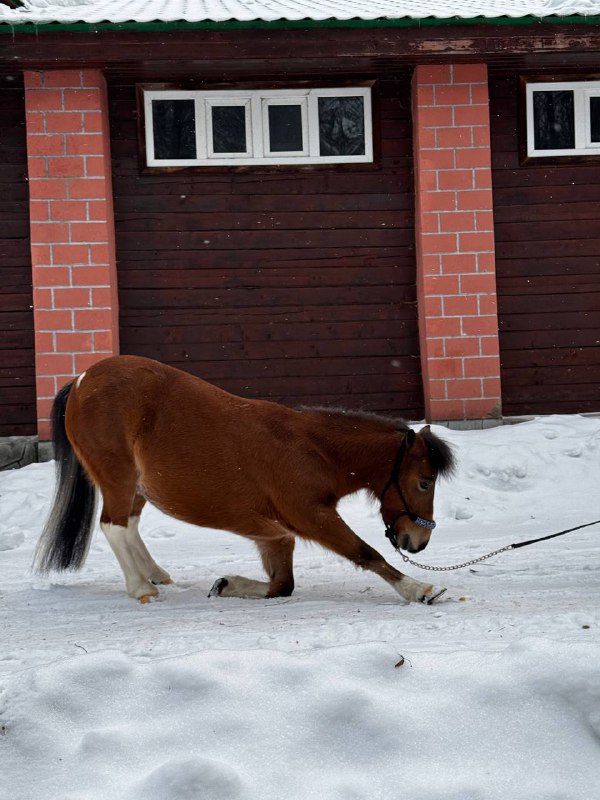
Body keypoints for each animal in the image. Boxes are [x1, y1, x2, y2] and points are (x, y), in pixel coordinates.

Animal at [34, 356, 454, 608]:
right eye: (424, 483)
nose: (418, 542)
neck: (311, 450)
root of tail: (82, 379)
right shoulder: (312, 516)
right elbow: (366, 553)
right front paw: (420, 589)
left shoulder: (276, 534)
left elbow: (282, 584)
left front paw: (227, 584)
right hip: (117, 477)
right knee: (114, 525)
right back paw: (141, 587)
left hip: (137, 486)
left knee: (130, 524)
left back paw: (155, 574)